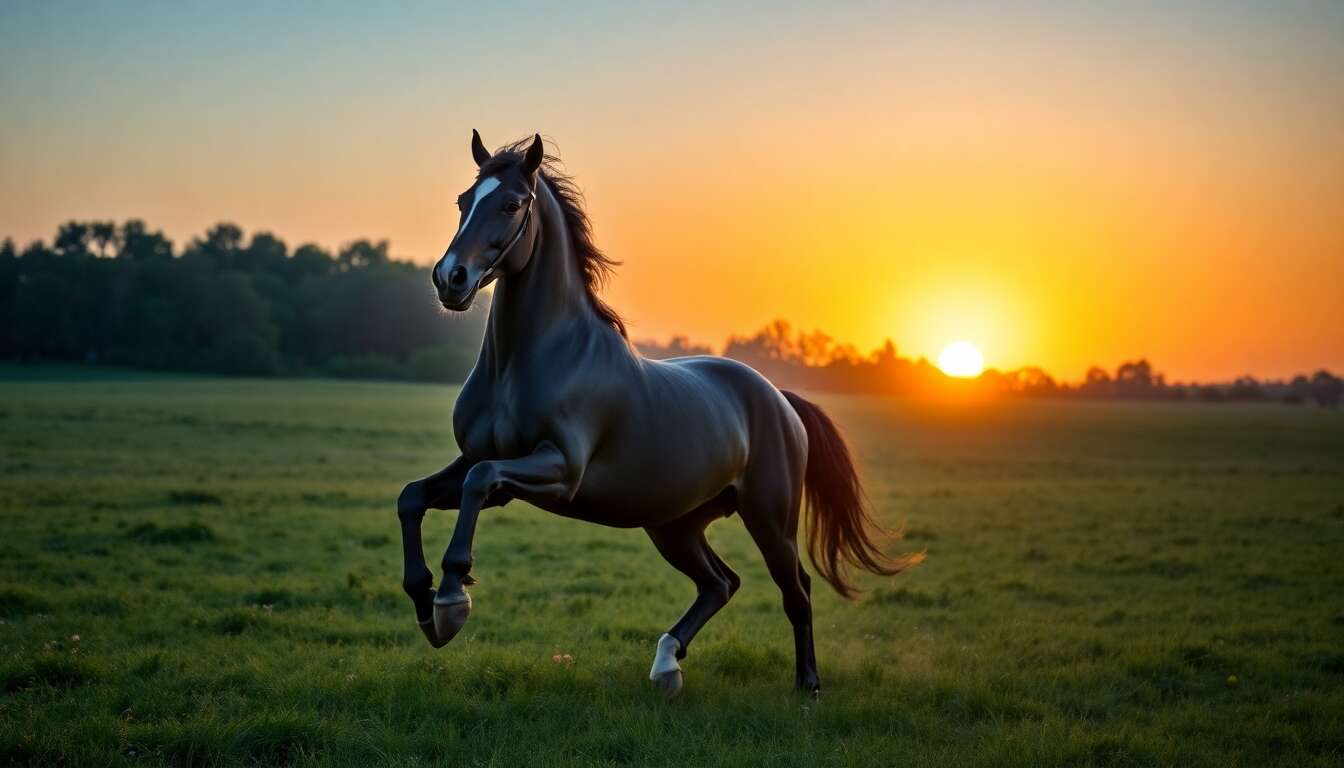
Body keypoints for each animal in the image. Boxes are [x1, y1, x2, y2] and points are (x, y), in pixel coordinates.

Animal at [397, 131, 921, 694]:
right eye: (462, 202)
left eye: (512, 203)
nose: (451, 278)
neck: (529, 362)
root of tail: (780, 400)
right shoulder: (480, 463)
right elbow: (413, 497)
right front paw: (425, 603)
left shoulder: (558, 470)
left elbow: (477, 484)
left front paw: (453, 600)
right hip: (675, 525)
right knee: (721, 584)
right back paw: (668, 664)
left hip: (768, 518)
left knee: (795, 589)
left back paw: (807, 684)